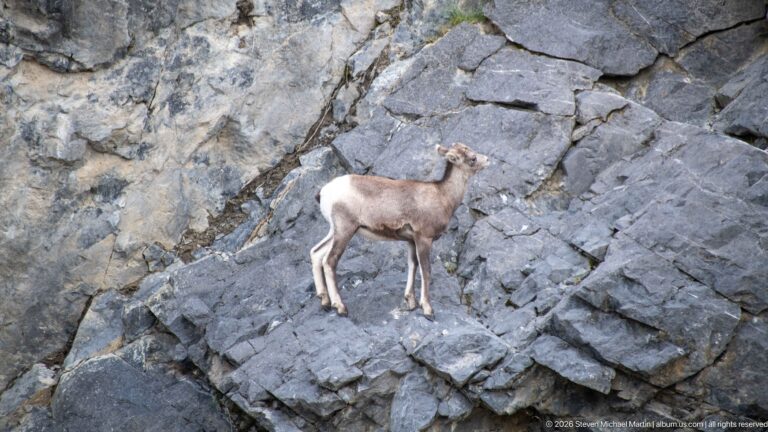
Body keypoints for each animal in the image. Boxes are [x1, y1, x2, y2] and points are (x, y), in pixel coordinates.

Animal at [310, 143, 489, 319]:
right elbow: (426, 271)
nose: (487, 159)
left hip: (335, 231)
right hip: (345, 230)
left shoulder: (411, 241)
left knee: (316, 252)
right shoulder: (424, 238)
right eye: (473, 158)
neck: (443, 196)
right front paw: (428, 310)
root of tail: (324, 193)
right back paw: (340, 307)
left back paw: (325, 302)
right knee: (329, 260)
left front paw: (411, 303)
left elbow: (413, 265)